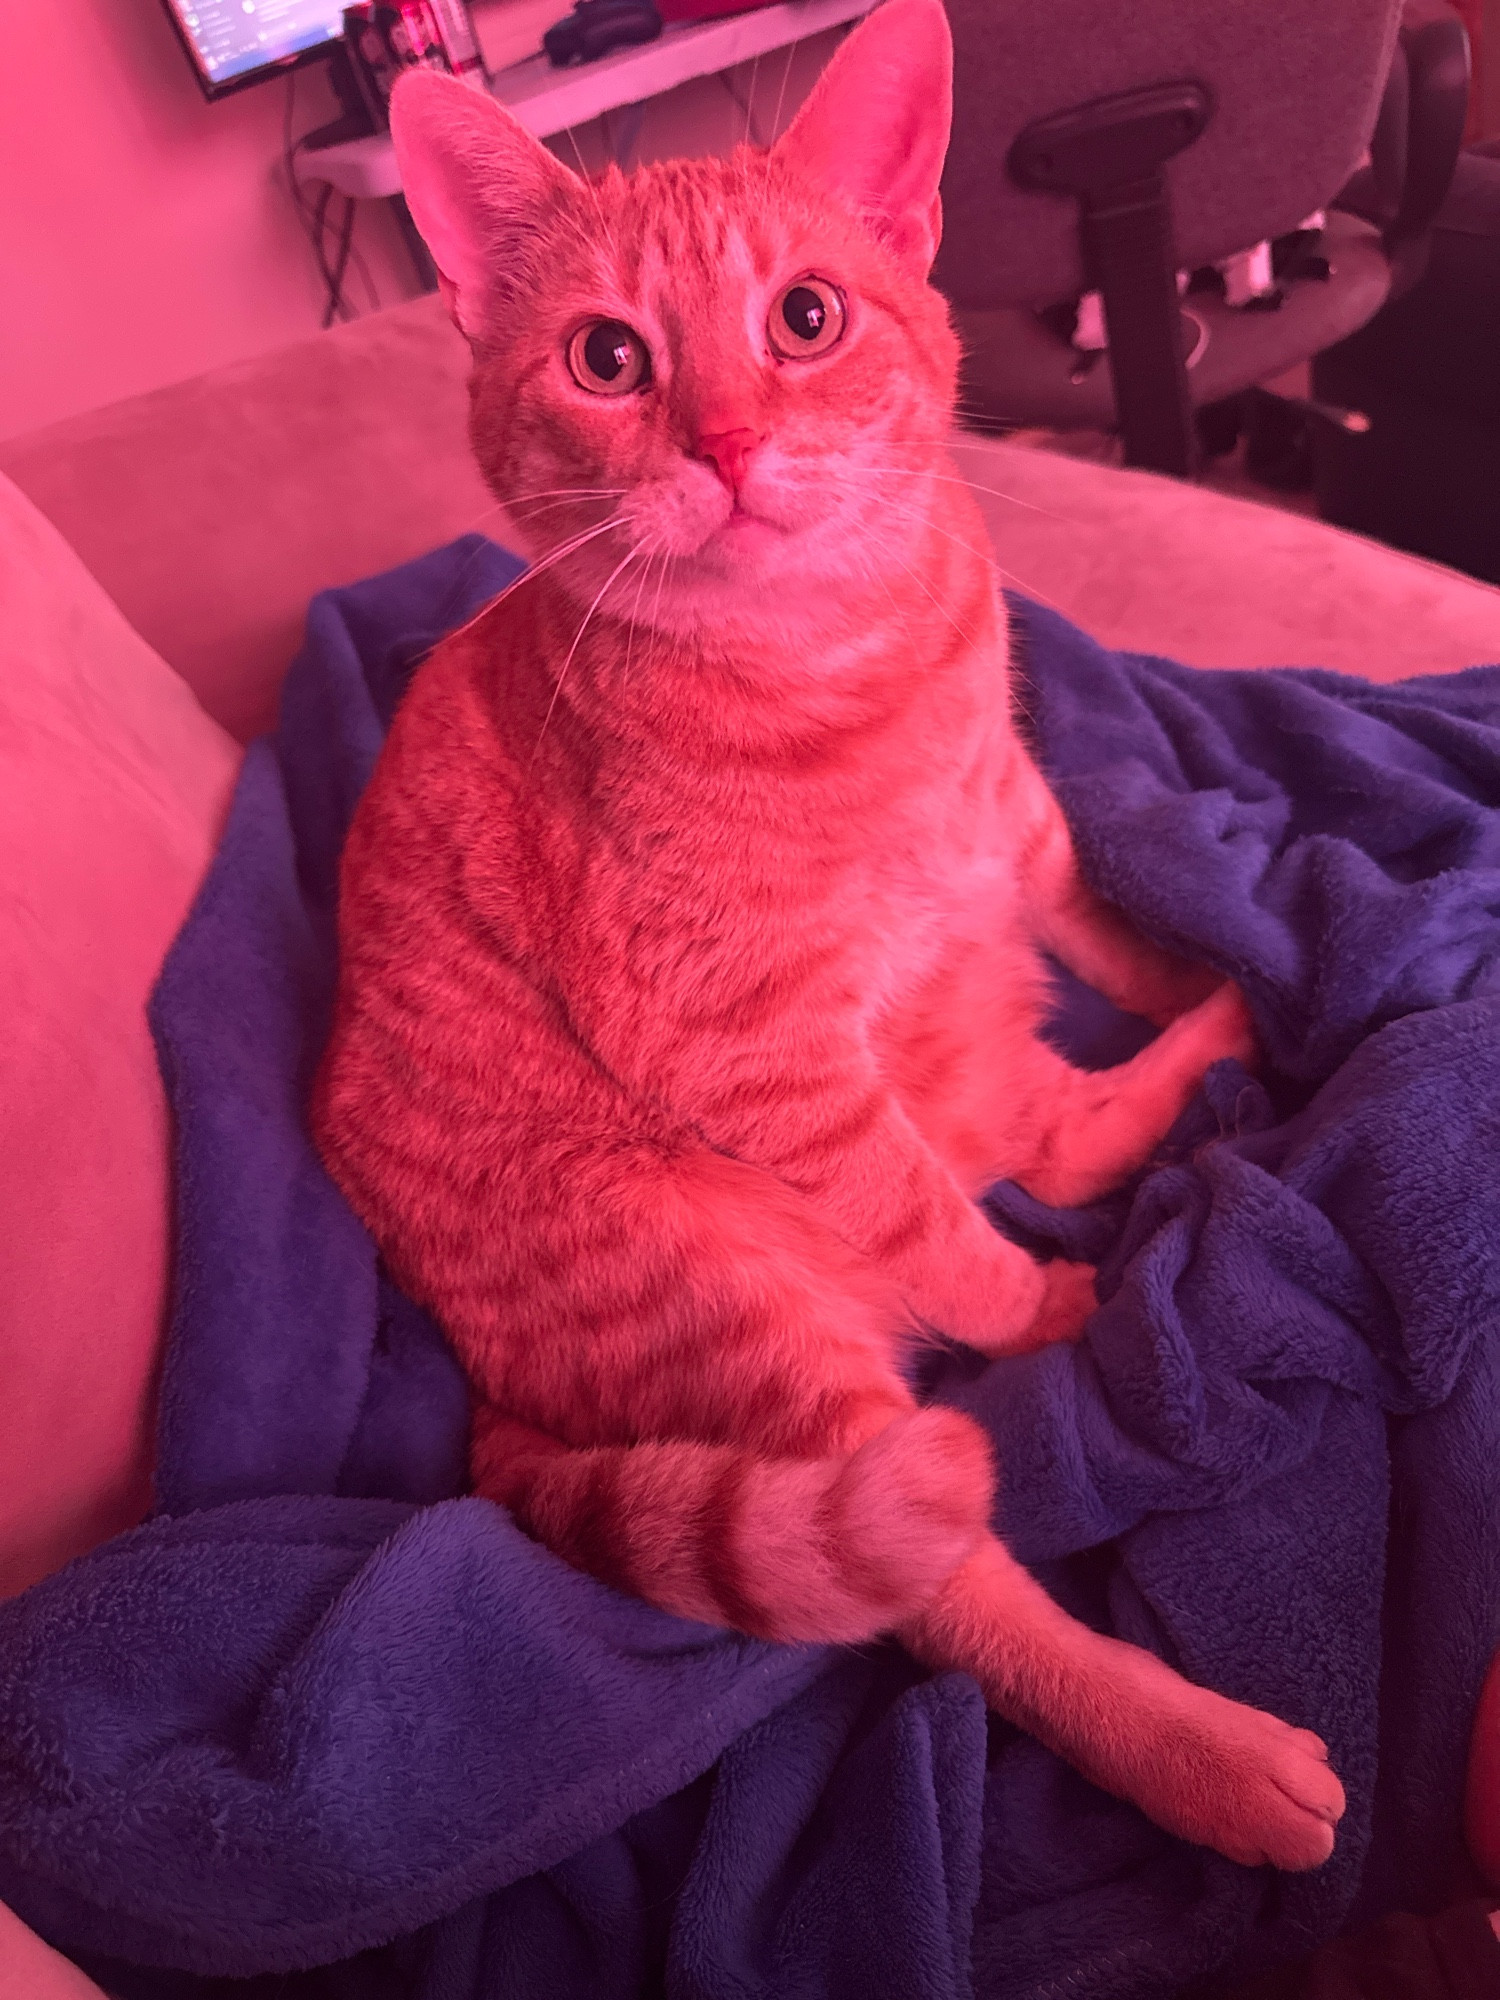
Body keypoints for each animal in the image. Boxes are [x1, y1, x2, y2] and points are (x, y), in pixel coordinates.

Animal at [314, 0, 1352, 1872]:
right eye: (608, 358)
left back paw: (1238, 1018)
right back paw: (1210, 1747)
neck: (848, 662)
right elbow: (940, 1236)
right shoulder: (762, 1059)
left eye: (804, 320)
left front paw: (1193, 961)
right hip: (758, 1321)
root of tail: (501, 1408)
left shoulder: (1016, 826)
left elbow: (1106, 928)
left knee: (1066, 1123)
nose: (726, 447)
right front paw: (1035, 1310)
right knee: (958, 1564)